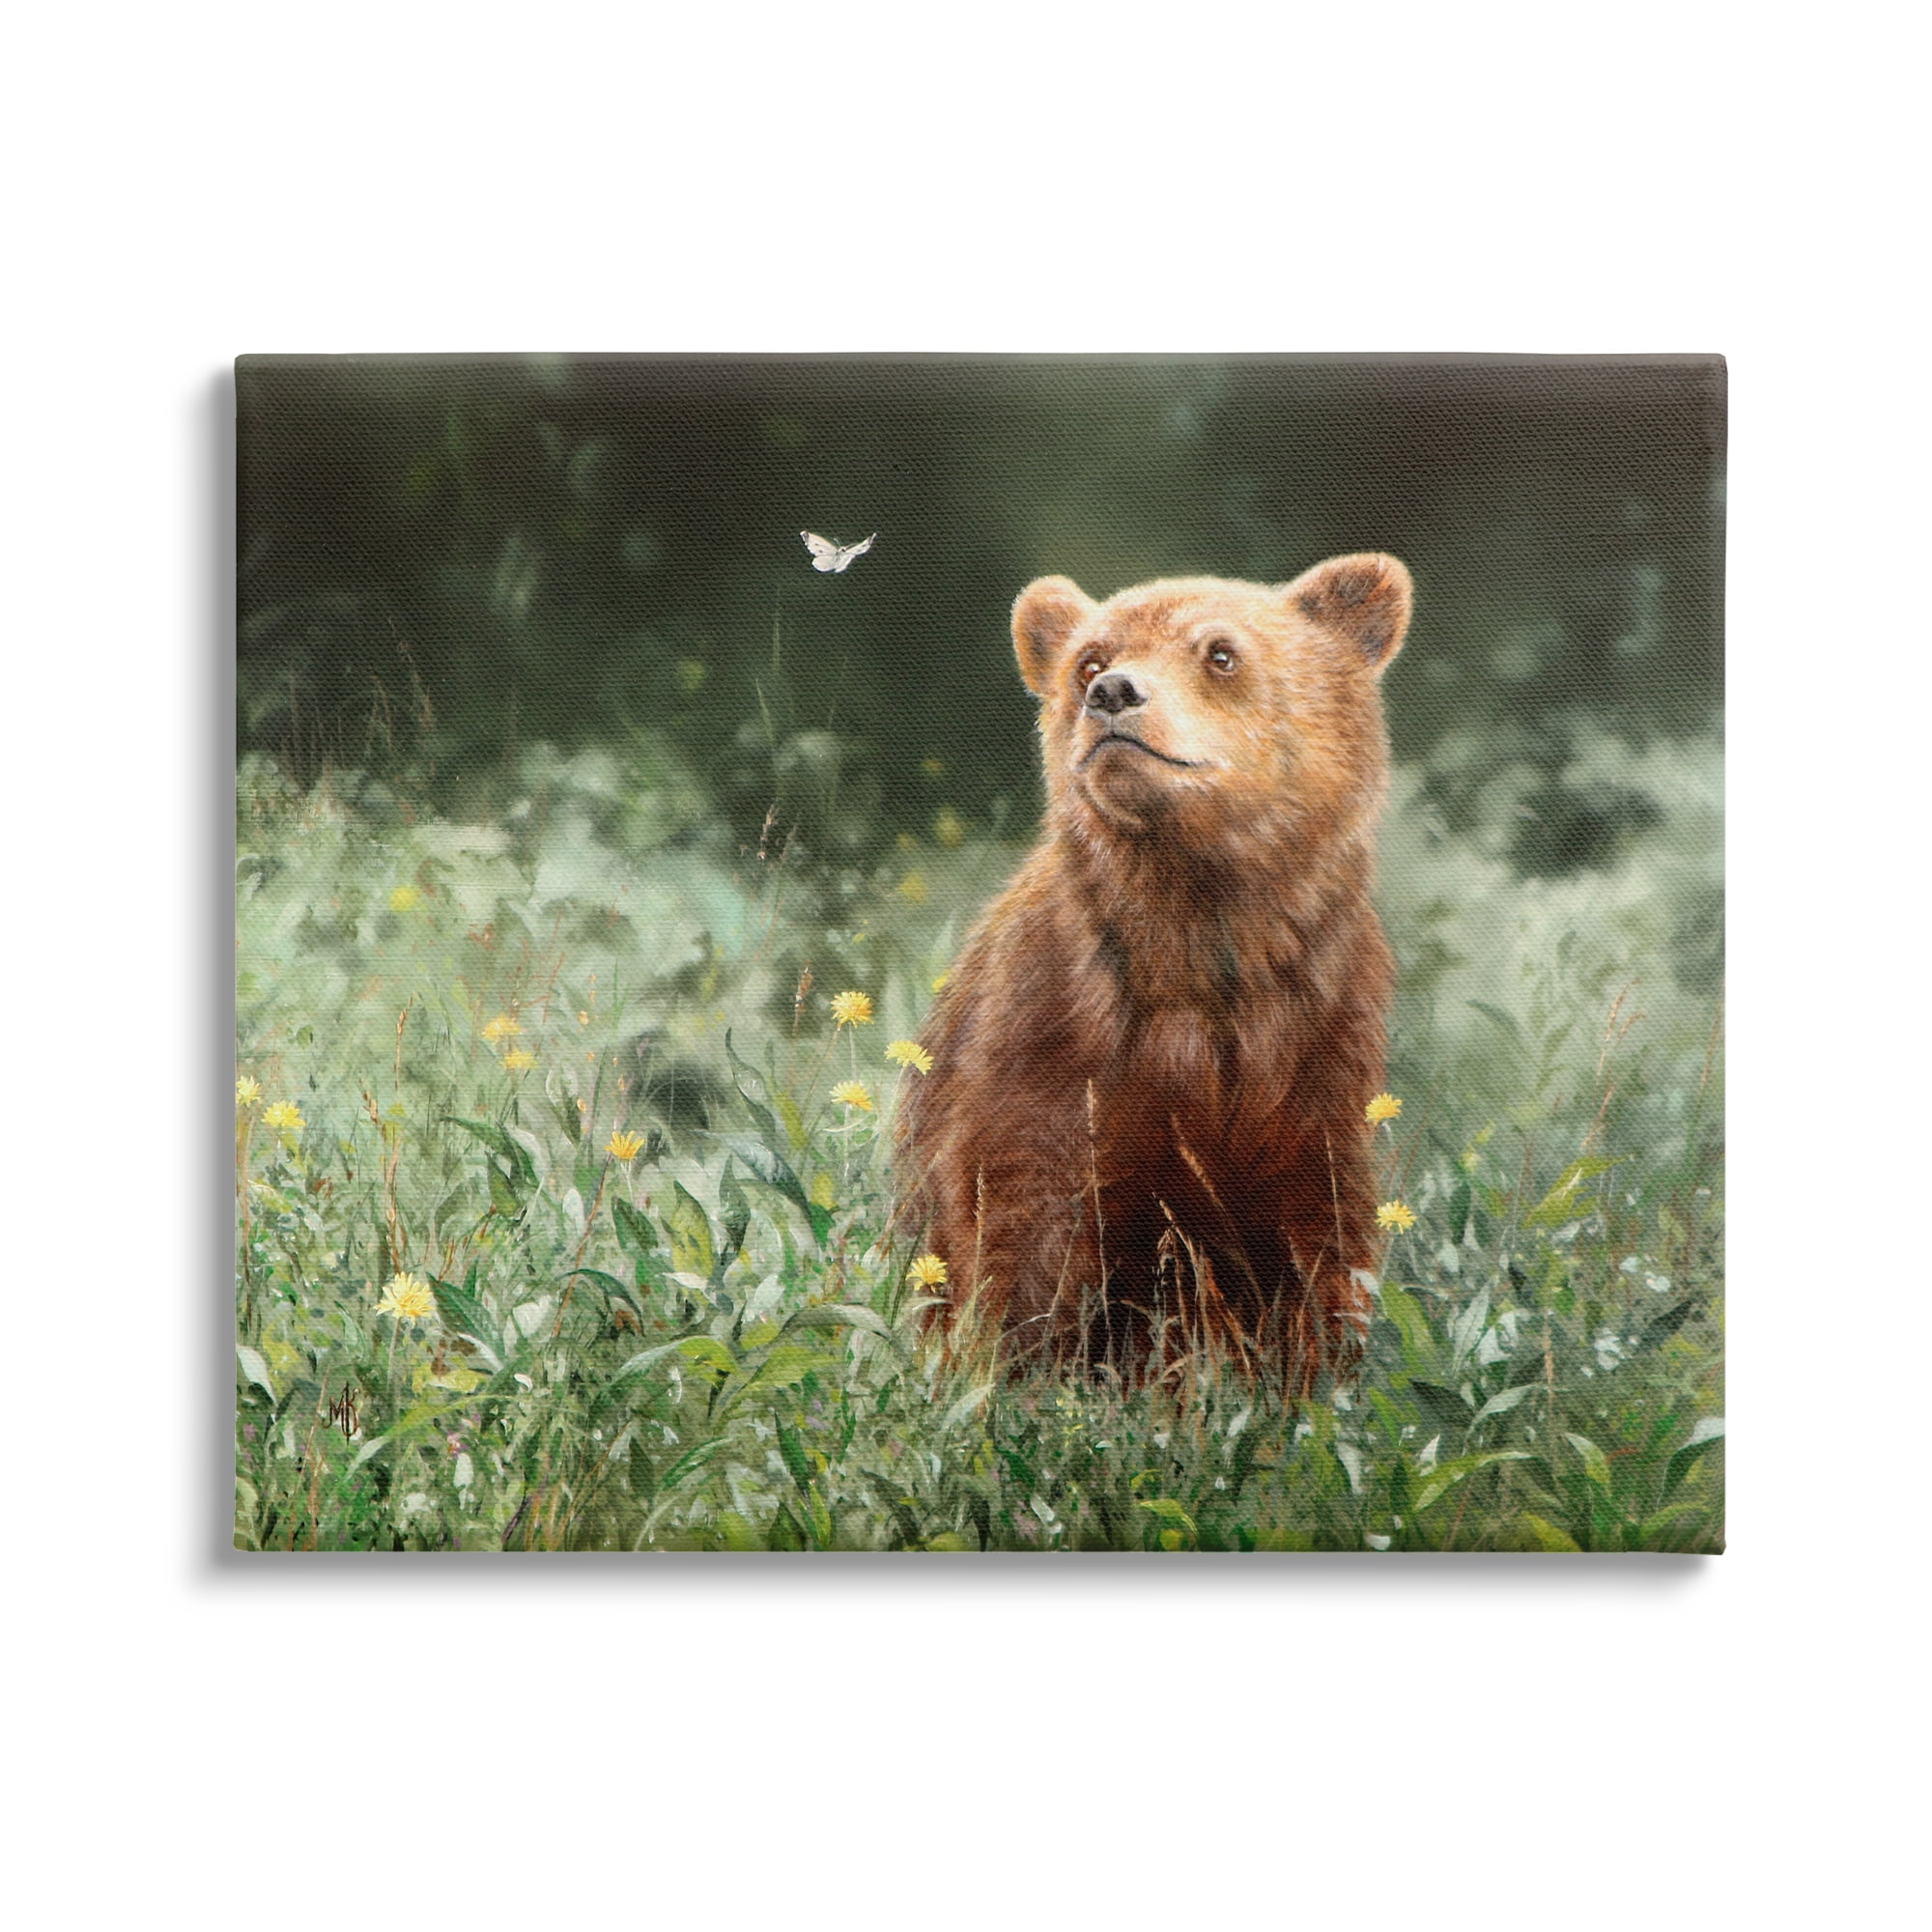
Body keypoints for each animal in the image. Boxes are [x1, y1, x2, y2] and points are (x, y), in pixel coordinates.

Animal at [894, 553, 1413, 1394]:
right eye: (1088, 659)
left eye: (1220, 653)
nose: (1113, 693)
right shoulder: (1053, 1037)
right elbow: (1022, 1226)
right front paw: (1021, 1374)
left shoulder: (1315, 1041)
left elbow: (1317, 1235)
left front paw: (1309, 1380)